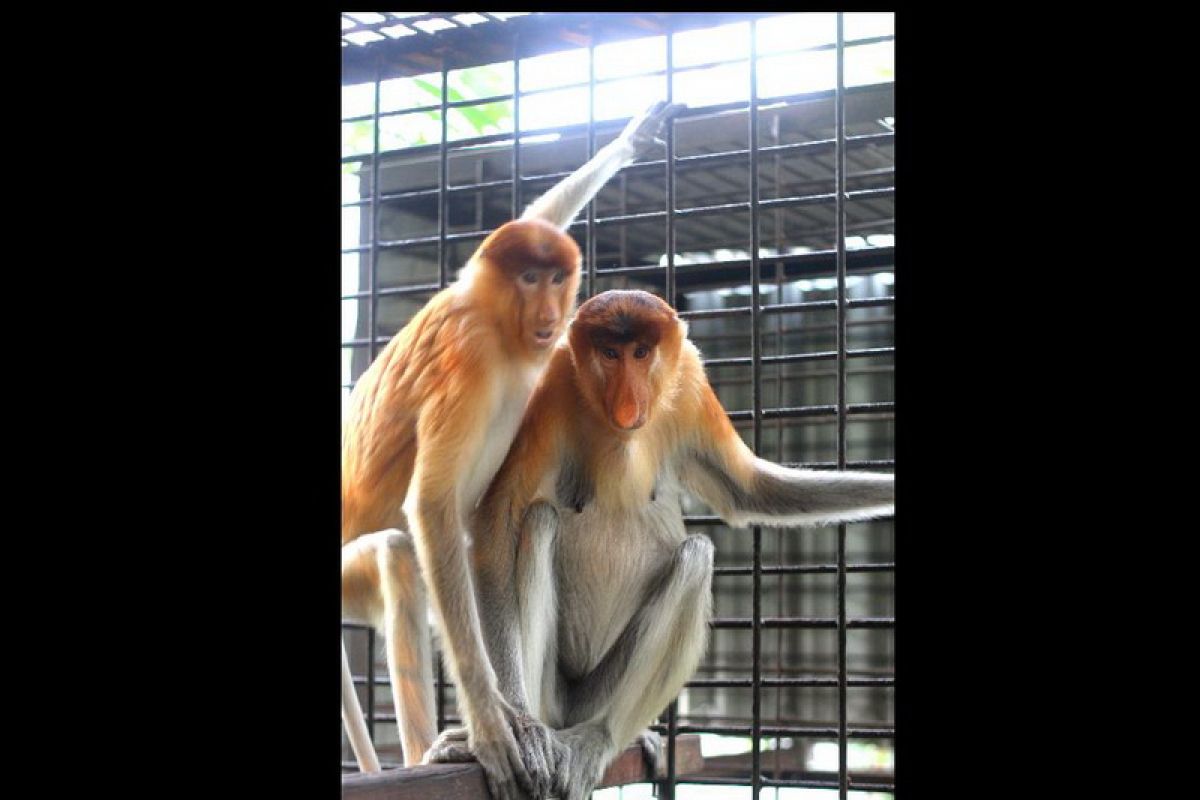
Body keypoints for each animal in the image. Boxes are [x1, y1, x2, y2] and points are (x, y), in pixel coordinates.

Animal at [338, 104, 686, 800]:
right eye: (529, 278)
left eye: (555, 277)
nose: (551, 310)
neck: (496, 321)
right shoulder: (469, 357)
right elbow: (433, 505)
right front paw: (495, 728)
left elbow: (539, 215)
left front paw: (630, 141)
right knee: (401, 554)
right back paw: (435, 748)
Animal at [420, 291, 892, 796]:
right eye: (611, 353)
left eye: (642, 353)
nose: (628, 402)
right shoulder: (555, 385)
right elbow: (499, 517)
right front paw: (518, 728)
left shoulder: (691, 386)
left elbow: (750, 490)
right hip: (555, 691)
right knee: (541, 519)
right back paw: (530, 733)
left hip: (598, 695)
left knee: (696, 556)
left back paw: (600, 738)